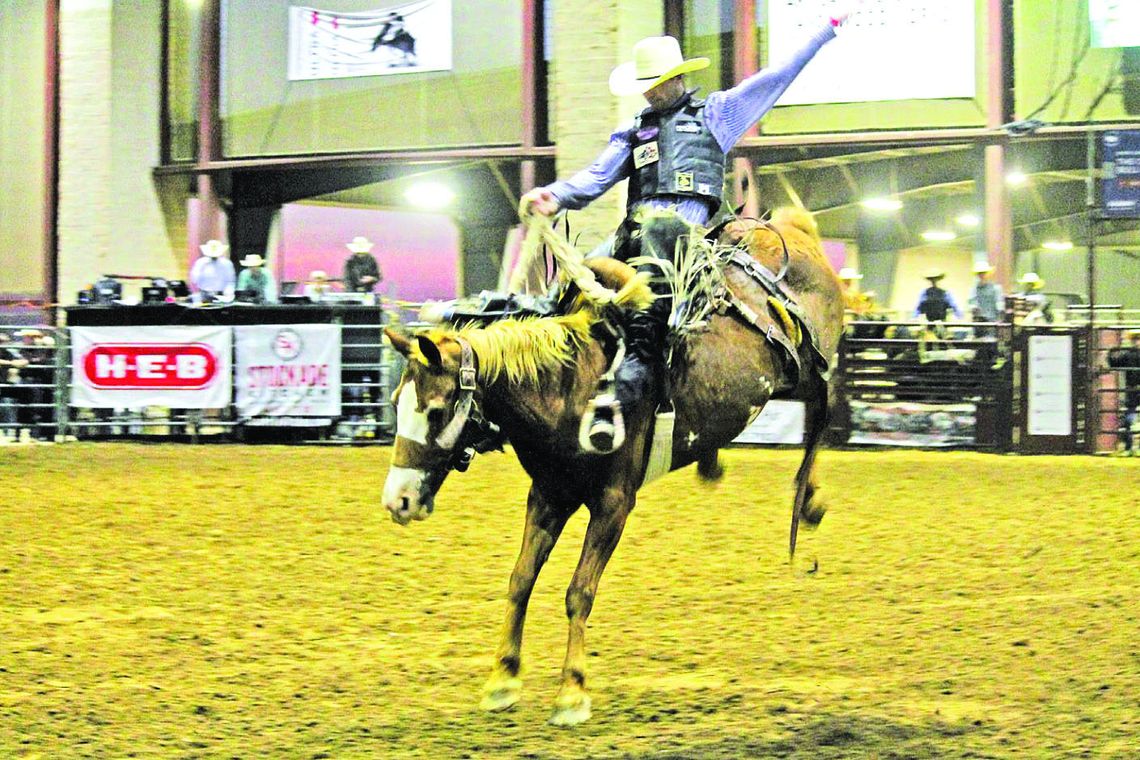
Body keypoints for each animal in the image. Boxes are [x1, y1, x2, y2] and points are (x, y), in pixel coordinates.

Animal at [383, 206, 848, 724]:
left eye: (436, 411)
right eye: (396, 404)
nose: (398, 500)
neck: (573, 386)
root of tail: (792, 227)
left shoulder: (613, 505)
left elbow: (578, 592)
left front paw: (571, 692)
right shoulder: (548, 495)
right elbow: (520, 581)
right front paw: (502, 679)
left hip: (813, 359)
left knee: (824, 406)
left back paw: (808, 501)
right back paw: (719, 466)